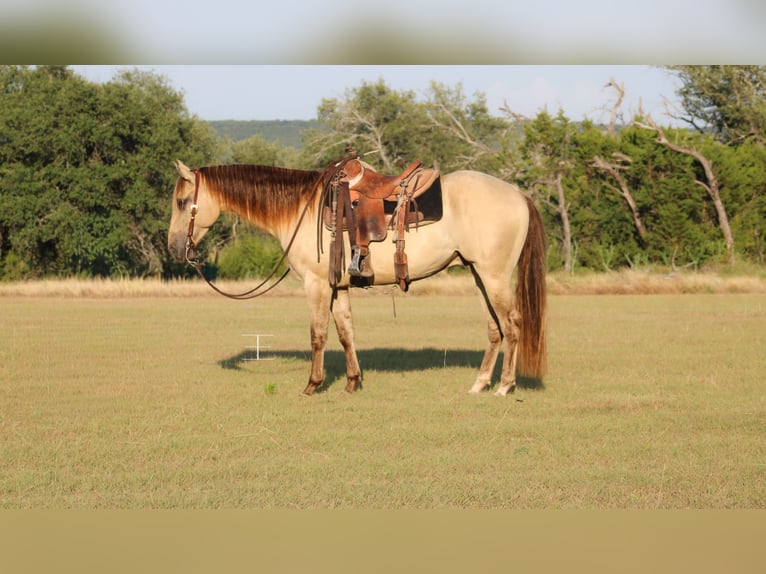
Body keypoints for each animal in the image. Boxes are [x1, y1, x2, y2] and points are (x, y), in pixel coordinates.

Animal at [167, 158, 547, 397]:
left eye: (183, 201)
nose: (174, 247)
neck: (302, 208)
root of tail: (517, 193)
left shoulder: (317, 285)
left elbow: (318, 335)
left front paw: (313, 385)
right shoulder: (339, 286)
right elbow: (345, 332)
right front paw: (352, 382)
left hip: (495, 277)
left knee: (513, 324)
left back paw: (505, 386)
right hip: (479, 274)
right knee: (495, 329)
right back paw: (480, 383)